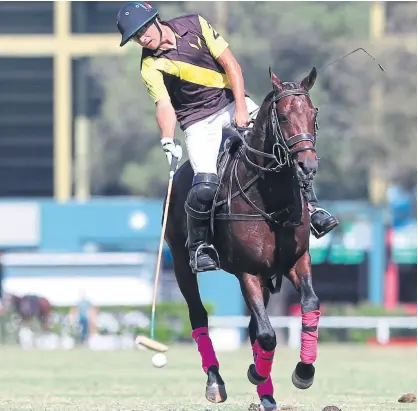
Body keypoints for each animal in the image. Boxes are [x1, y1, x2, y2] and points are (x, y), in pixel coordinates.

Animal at [165, 66, 322, 410]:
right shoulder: (247, 270)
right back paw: (216, 382)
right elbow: (267, 334)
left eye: (313, 114)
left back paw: (266, 394)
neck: (272, 198)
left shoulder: (296, 261)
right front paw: (255, 372)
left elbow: (309, 306)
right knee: (199, 314)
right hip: (181, 261)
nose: (307, 166)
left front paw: (303, 372)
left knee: (253, 326)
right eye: (283, 116)